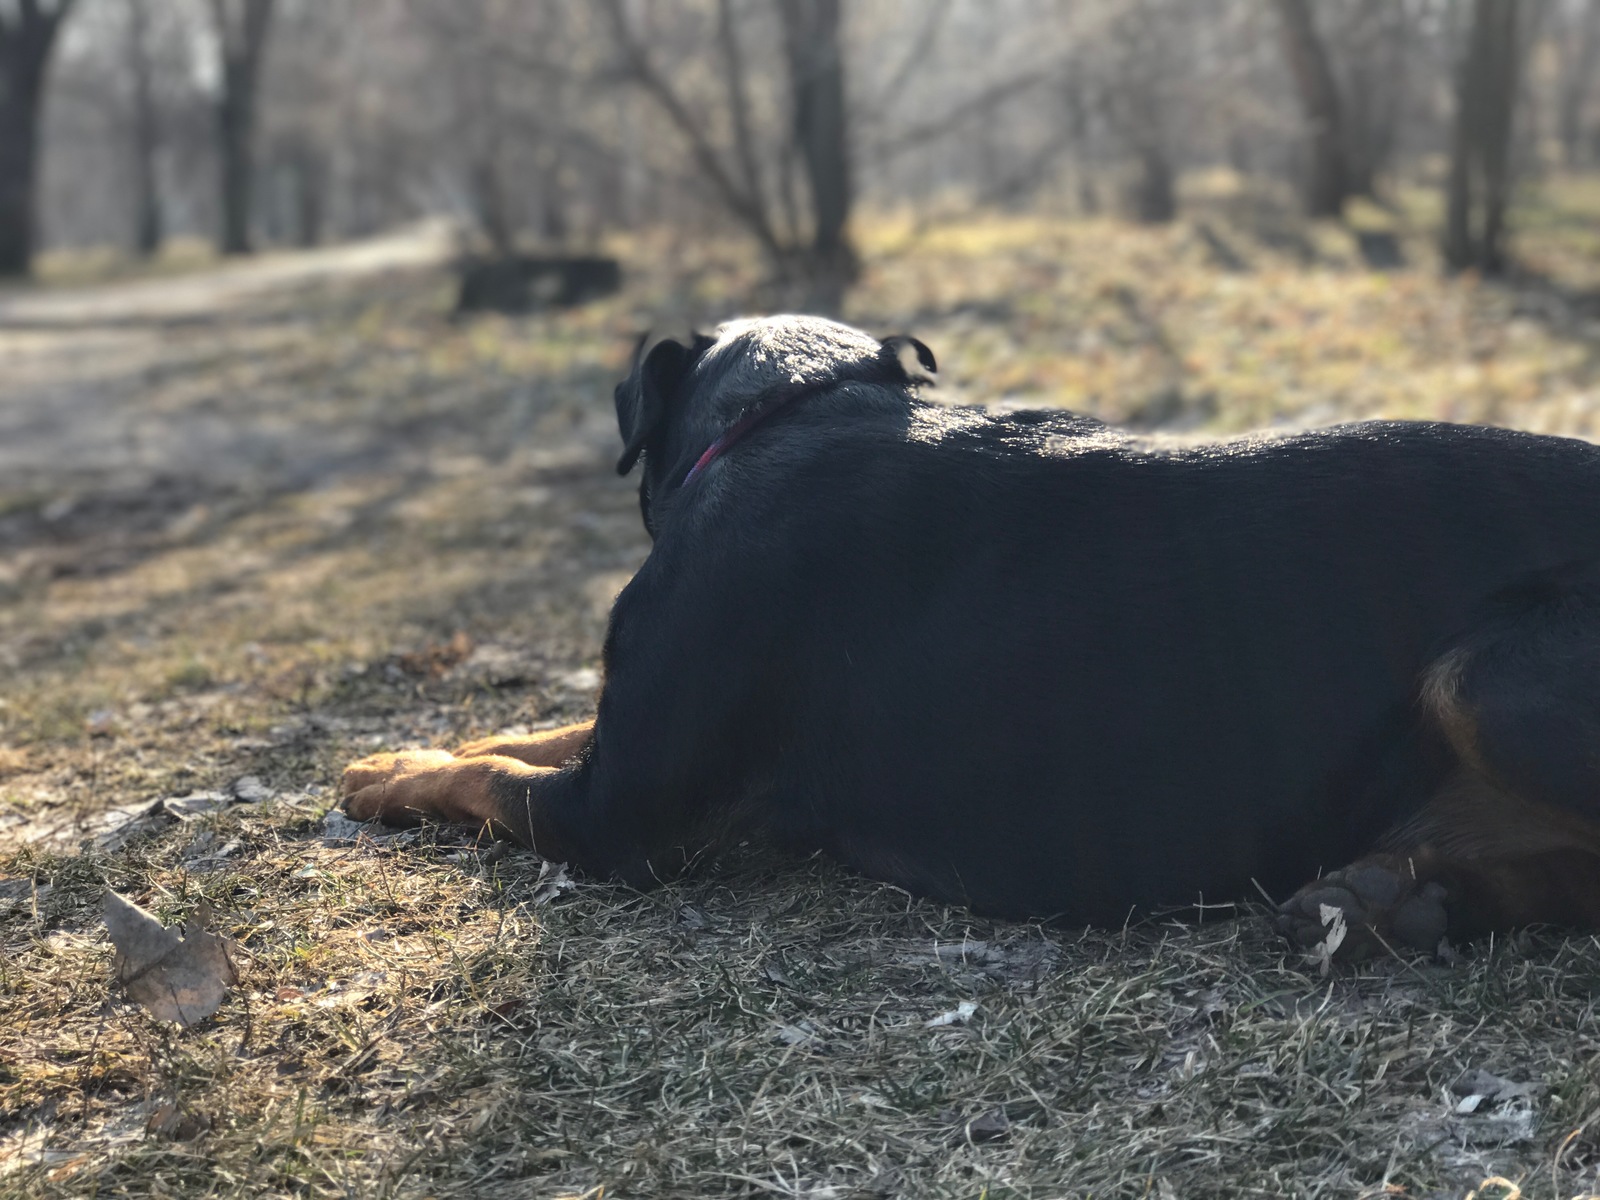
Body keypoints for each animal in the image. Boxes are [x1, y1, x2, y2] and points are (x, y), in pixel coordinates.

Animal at [350, 315, 1600, 966]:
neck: (793, 412)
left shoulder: (619, 814)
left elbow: (497, 781)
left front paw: (395, 772)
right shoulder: (626, 734)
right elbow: (536, 728)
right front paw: (405, 747)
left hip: (1483, 673)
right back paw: (1398, 901)